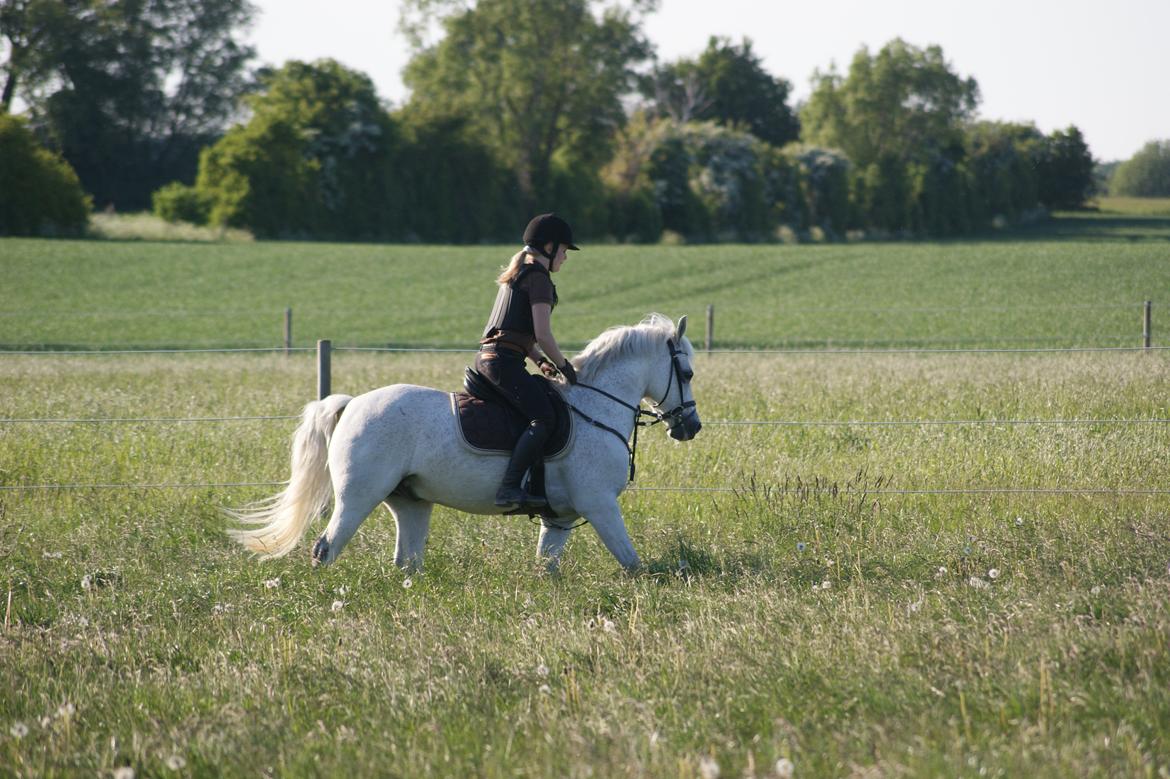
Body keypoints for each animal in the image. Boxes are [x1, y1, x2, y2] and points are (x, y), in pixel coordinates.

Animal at [232, 313, 697, 573]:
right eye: (688, 373)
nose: (689, 427)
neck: (595, 405)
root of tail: (351, 404)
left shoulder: (560, 517)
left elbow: (546, 567)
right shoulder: (599, 504)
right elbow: (633, 563)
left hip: (412, 503)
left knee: (407, 563)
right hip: (358, 497)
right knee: (325, 549)